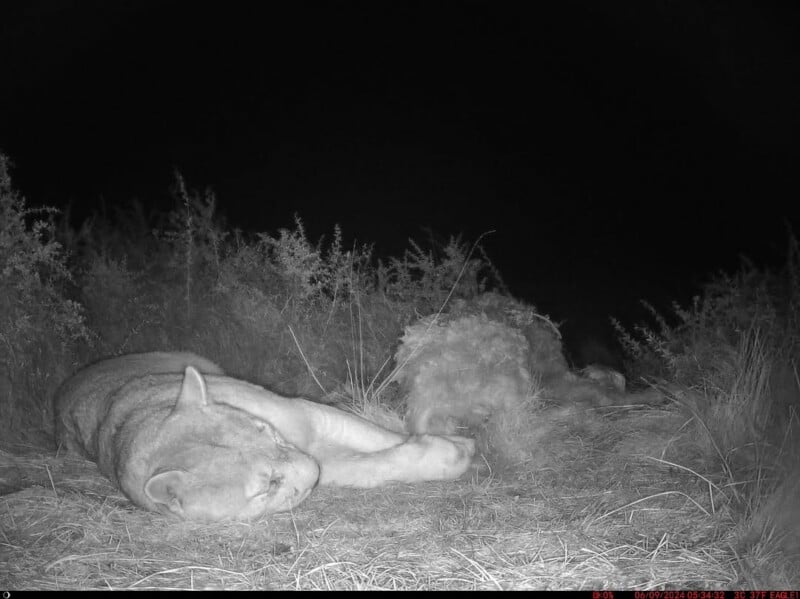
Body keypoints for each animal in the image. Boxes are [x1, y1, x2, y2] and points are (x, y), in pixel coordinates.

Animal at [55, 352, 475, 521]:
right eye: (267, 485)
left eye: (267, 433)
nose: (311, 470)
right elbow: (371, 465)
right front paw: (450, 455)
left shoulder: (306, 412)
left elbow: (375, 435)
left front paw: (458, 444)